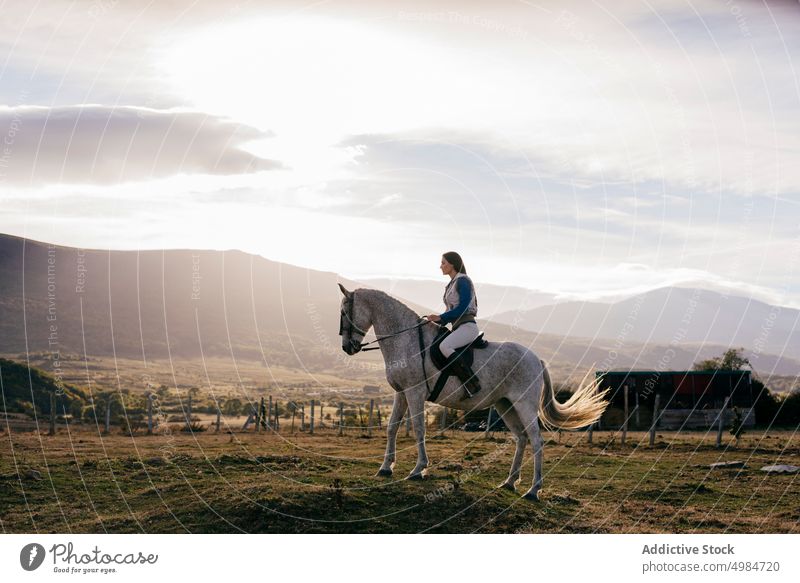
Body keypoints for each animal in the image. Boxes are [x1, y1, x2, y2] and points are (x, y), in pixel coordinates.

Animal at [338, 286, 608, 500]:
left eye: (343, 312)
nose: (347, 348)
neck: (405, 339)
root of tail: (536, 359)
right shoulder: (401, 393)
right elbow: (392, 427)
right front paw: (386, 468)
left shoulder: (414, 393)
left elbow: (418, 429)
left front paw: (418, 470)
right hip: (505, 405)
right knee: (521, 438)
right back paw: (509, 482)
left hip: (524, 404)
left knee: (536, 440)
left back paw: (533, 491)